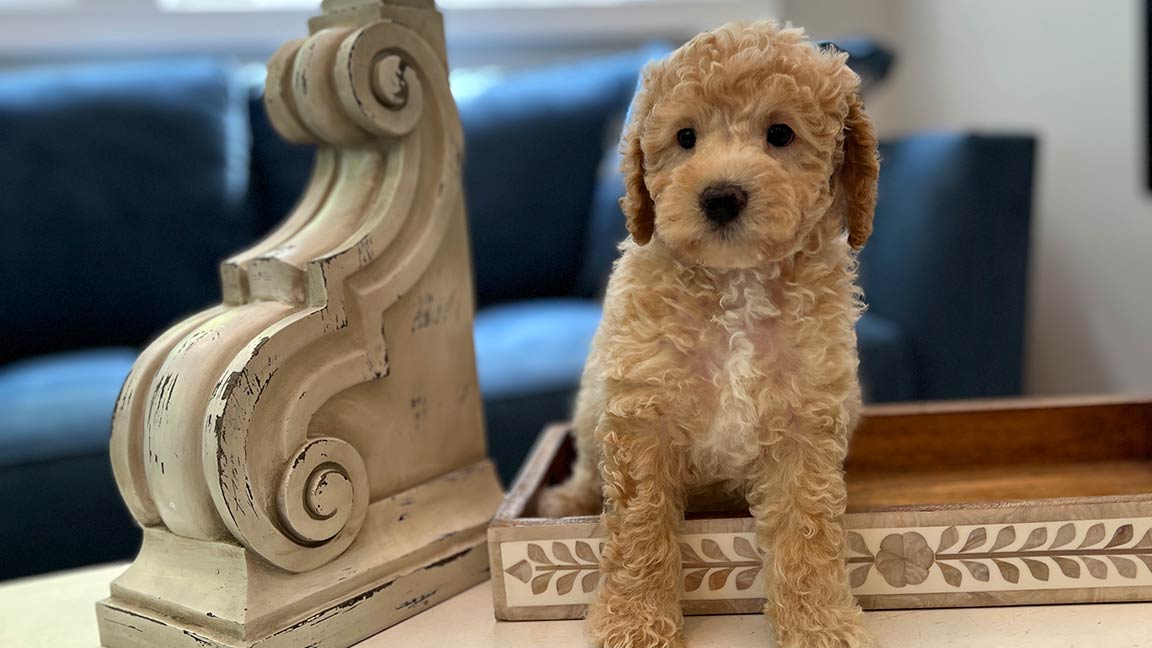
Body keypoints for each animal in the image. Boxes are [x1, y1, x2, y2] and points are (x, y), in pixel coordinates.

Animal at [539, 20, 880, 645]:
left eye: (780, 133)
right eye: (686, 136)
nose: (721, 196)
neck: (735, 284)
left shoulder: (805, 423)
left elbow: (808, 532)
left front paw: (820, 622)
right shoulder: (641, 414)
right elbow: (640, 528)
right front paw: (636, 620)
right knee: (584, 466)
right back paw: (563, 500)